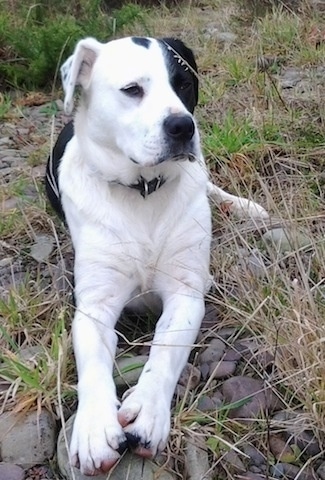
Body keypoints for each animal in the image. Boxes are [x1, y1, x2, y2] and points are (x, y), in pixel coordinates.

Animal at [45, 35, 268, 474]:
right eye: (133, 89)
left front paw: (147, 410)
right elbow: (92, 364)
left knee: (210, 185)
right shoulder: (94, 306)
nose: (183, 126)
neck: (142, 192)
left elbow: (165, 354)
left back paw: (243, 206)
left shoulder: (184, 294)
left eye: (184, 84)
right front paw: (93, 428)